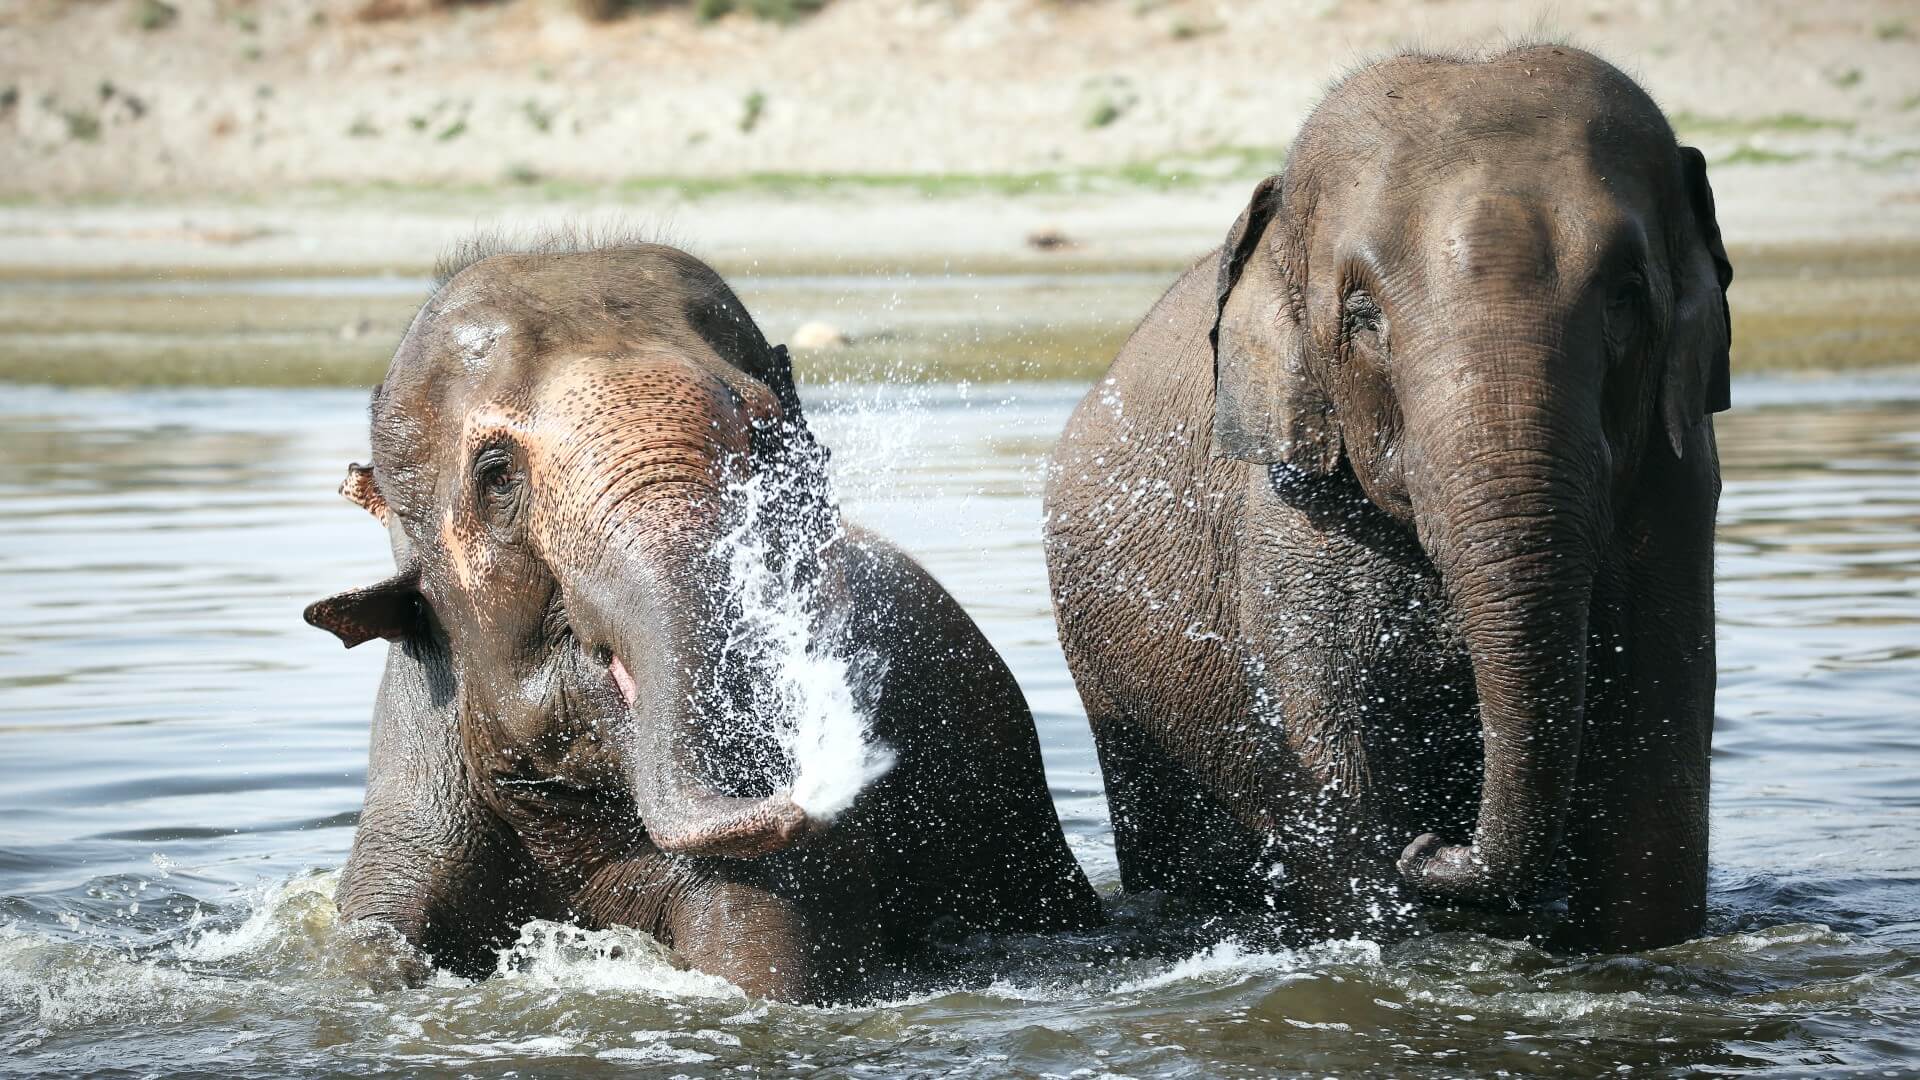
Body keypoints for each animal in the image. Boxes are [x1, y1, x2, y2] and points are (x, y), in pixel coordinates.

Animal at [1044, 46, 1735, 945]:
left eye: (1625, 295)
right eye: (1362, 313)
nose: (1437, 845)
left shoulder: (1674, 497)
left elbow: (1654, 788)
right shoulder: (1292, 511)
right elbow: (1341, 782)